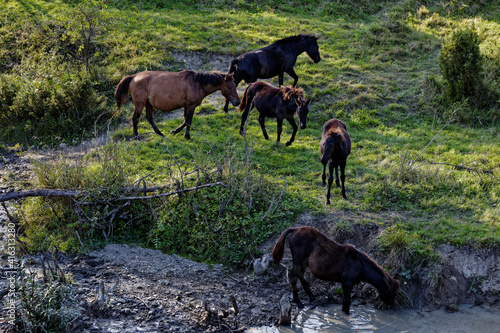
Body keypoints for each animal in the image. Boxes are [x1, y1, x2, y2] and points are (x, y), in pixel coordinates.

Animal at [272, 226, 400, 314]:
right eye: (392, 291)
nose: (391, 304)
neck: (359, 264)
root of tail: (295, 229)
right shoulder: (347, 283)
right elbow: (347, 301)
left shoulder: (345, 284)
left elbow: (344, 300)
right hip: (298, 260)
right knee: (294, 276)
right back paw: (298, 302)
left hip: (303, 263)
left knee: (300, 275)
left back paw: (311, 296)